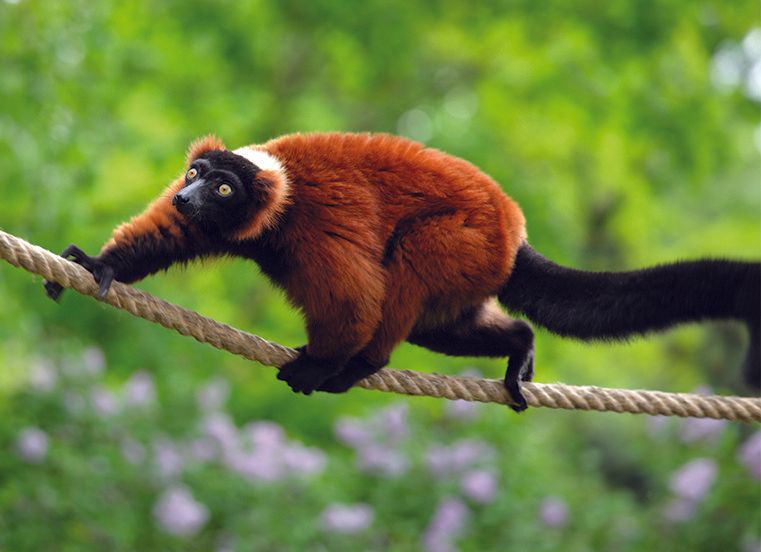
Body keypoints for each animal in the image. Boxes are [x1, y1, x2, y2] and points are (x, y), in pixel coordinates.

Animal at [43, 133, 761, 411]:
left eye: (222, 188)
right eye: (195, 176)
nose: (188, 196)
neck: (273, 201)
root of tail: (513, 230)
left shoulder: (314, 223)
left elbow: (354, 295)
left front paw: (321, 363)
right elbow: (164, 238)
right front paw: (100, 265)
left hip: (466, 241)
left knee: (409, 266)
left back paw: (361, 365)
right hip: (474, 271)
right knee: (443, 325)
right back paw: (517, 345)